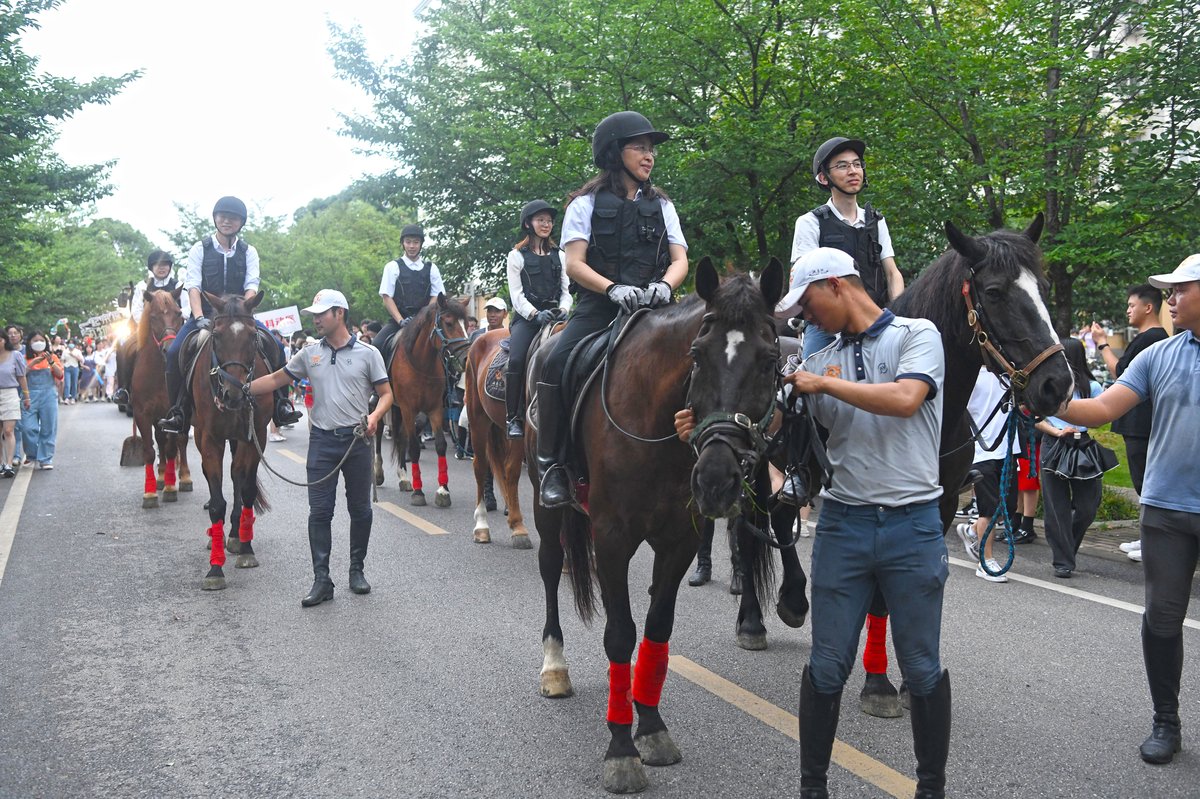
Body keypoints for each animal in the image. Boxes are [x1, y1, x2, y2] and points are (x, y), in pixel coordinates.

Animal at [130, 289, 190, 506]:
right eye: (154, 316)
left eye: (178, 313)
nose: (169, 348)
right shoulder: (142, 414)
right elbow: (149, 450)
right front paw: (150, 493)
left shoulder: (172, 412)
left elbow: (173, 447)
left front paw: (171, 488)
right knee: (160, 440)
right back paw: (162, 477)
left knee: (180, 441)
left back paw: (183, 477)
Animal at [192, 289, 272, 587]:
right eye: (216, 336)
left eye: (252, 336)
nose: (233, 395)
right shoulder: (210, 439)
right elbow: (217, 503)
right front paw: (215, 569)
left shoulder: (255, 435)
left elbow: (246, 489)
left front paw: (246, 548)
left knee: (238, 475)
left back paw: (237, 534)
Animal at [386, 295, 465, 506]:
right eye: (449, 323)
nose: (466, 355)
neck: (421, 364)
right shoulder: (408, 408)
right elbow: (414, 447)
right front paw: (418, 492)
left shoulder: (435, 409)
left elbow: (440, 444)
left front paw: (443, 490)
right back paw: (378, 473)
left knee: (402, 437)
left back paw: (404, 477)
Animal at [530, 256, 782, 791]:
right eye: (698, 355)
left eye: (771, 360)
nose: (716, 479)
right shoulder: (612, 538)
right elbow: (620, 635)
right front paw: (621, 749)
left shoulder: (679, 539)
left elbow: (657, 628)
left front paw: (650, 727)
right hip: (546, 506)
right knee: (550, 566)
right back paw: (554, 666)